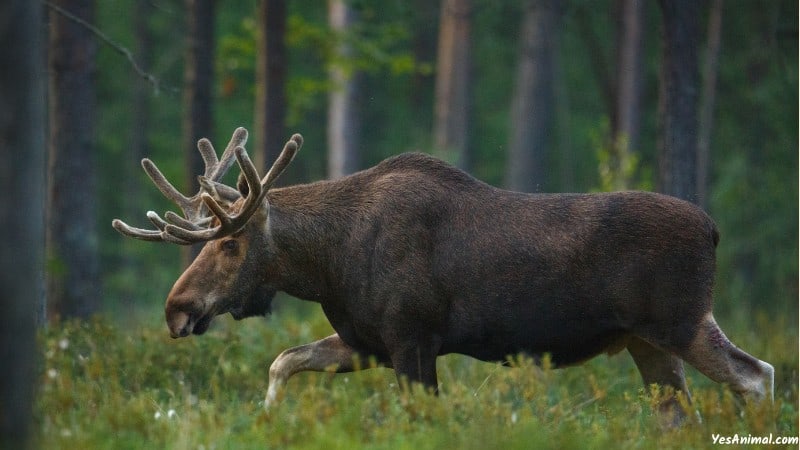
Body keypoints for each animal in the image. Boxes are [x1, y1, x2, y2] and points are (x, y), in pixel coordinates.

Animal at [109, 126, 772, 414]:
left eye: (229, 244)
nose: (176, 309)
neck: (328, 265)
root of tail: (714, 229)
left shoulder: (411, 338)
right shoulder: (368, 341)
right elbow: (284, 361)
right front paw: (270, 418)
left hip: (681, 322)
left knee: (756, 376)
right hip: (646, 343)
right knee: (679, 413)